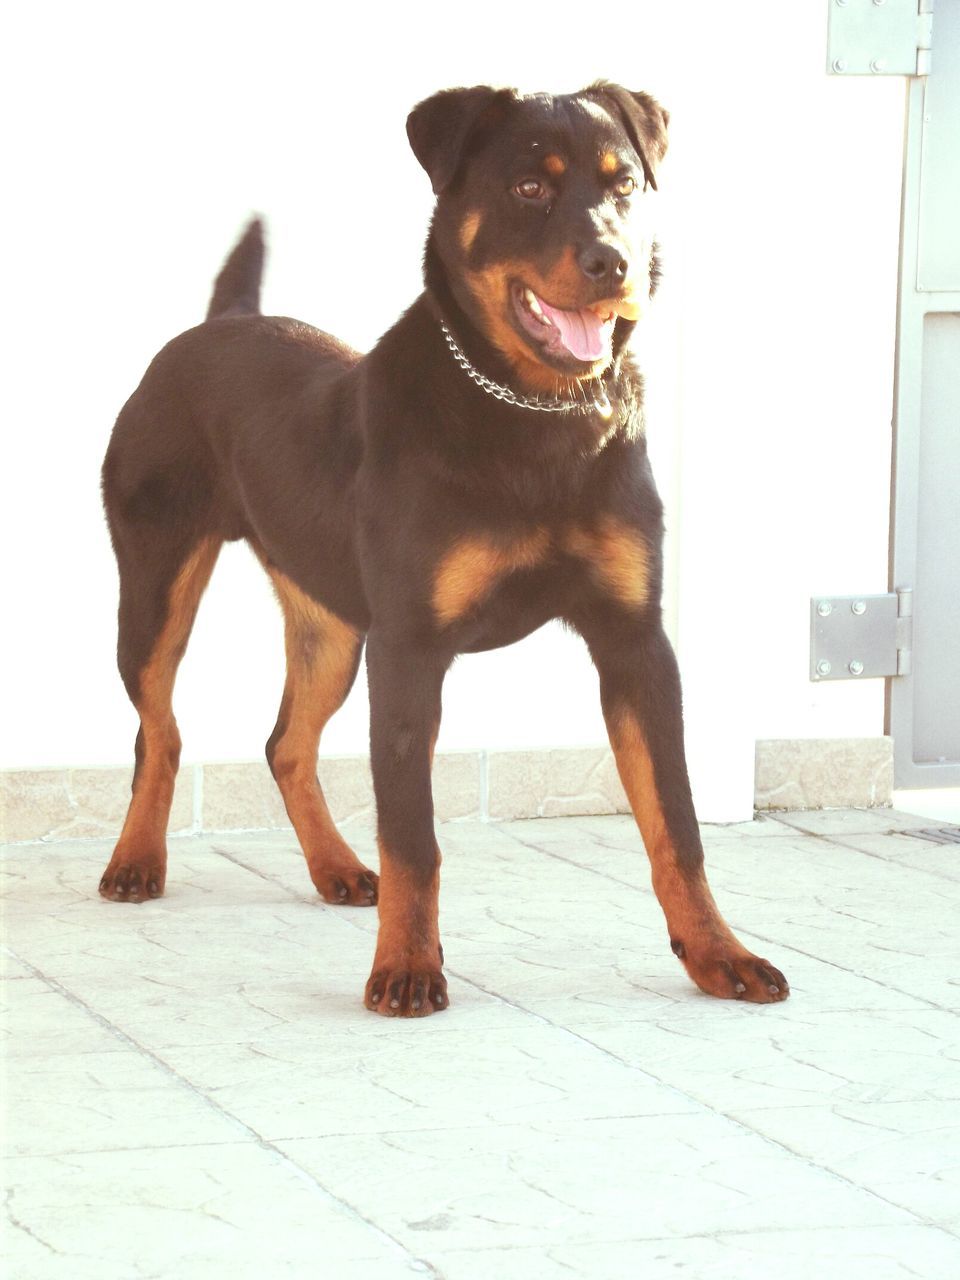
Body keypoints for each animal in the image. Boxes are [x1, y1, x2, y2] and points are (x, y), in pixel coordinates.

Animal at [99, 85, 788, 1013]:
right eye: (530, 187)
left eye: (625, 186)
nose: (612, 262)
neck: (539, 419)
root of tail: (220, 325)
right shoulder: (412, 649)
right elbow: (413, 836)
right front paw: (406, 969)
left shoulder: (635, 642)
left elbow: (676, 824)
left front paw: (719, 953)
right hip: (156, 584)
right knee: (159, 728)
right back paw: (137, 860)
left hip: (331, 629)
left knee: (286, 743)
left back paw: (336, 867)